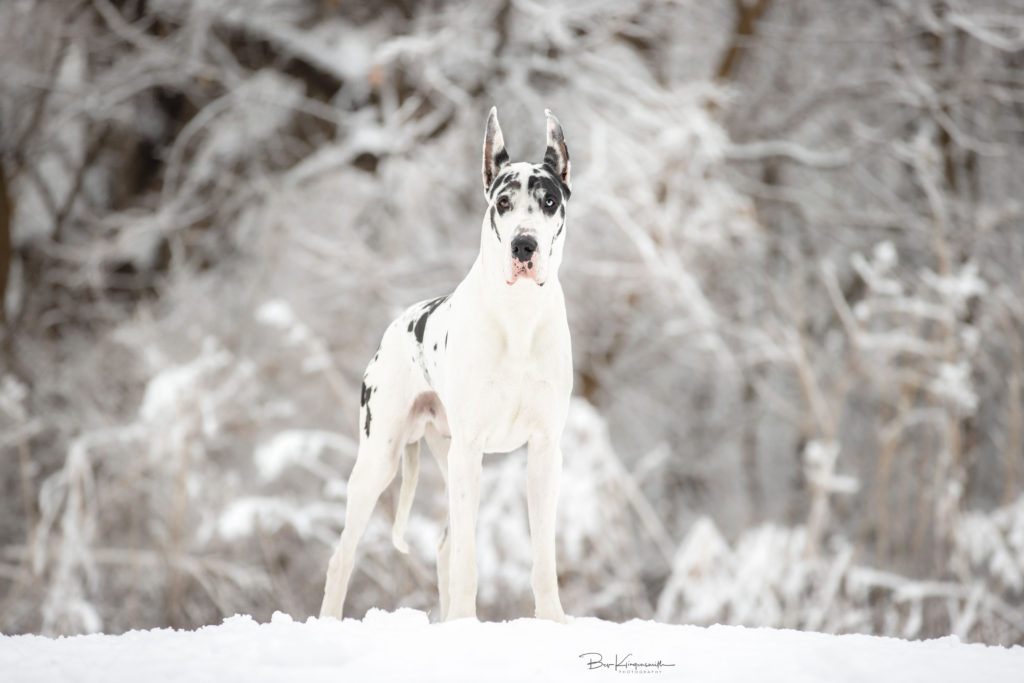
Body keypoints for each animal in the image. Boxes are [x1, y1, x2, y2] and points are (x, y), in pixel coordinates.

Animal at [319, 107, 573, 626]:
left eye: (549, 200)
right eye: (502, 202)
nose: (524, 245)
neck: (518, 317)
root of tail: (394, 328)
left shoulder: (544, 454)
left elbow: (543, 557)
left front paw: (553, 621)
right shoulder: (470, 452)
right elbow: (468, 560)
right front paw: (463, 623)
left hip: (446, 455)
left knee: (443, 548)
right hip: (381, 460)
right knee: (344, 556)